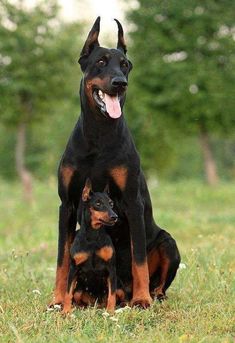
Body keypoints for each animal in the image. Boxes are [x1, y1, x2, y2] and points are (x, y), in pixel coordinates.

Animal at [62, 181, 117, 316]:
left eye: (111, 203)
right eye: (98, 204)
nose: (115, 217)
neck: (93, 236)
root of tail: (94, 303)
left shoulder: (111, 268)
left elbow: (112, 295)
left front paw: (110, 312)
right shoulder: (73, 268)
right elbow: (68, 293)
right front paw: (66, 312)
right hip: (79, 291)